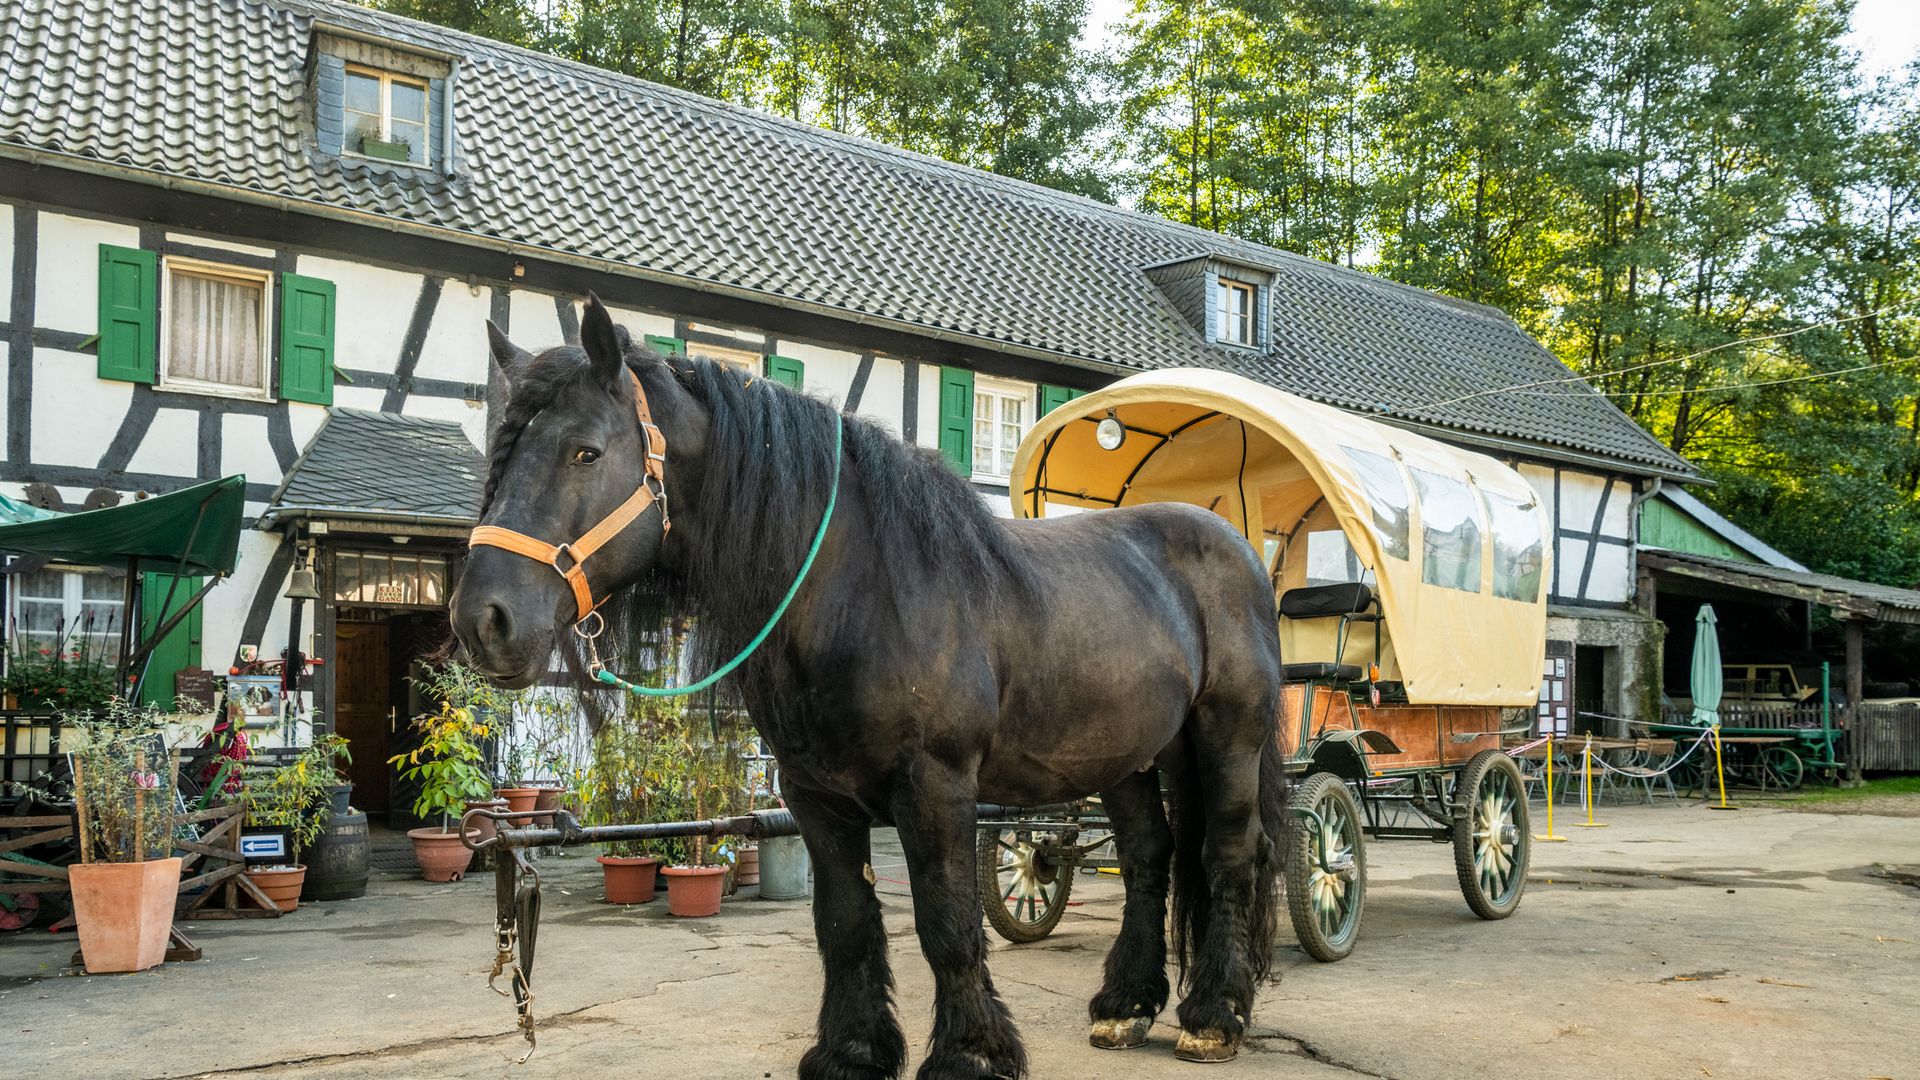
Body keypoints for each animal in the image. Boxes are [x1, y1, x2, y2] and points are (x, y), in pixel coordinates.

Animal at [455, 295, 1282, 1076]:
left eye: (585, 451)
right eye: (501, 452)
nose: (482, 620)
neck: (862, 589)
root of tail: (1235, 547)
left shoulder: (936, 787)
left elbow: (947, 924)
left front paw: (970, 1054)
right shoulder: (814, 797)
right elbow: (846, 922)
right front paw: (853, 1051)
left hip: (1227, 738)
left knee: (1229, 854)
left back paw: (1214, 1014)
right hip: (1131, 756)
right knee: (1149, 856)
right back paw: (1126, 1005)